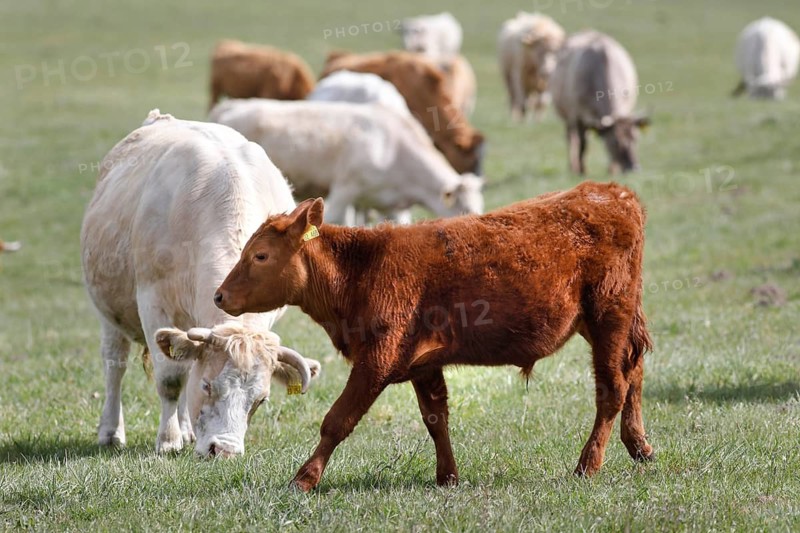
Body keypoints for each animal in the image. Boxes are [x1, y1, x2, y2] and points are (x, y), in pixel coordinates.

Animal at [81, 109, 320, 457]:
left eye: (260, 400)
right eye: (208, 386)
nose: (224, 450)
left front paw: (183, 432)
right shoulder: (154, 303)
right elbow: (170, 380)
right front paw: (168, 440)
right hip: (109, 315)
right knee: (116, 366)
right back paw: (112, 431)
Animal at [214, 180, 655, 491]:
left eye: (260, 255)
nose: (219, 295)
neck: (360, 269)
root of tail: (614, 193)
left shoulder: (377, 360)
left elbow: (337, 420)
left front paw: (304, 478)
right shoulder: (423, 364)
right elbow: (436, 419)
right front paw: (448, 476)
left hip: (608, 316)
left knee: (613, 389)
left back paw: (588, 465)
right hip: (603, 323)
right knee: (634, 371)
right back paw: (639, 446)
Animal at [550, 31, 650, 175]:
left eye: (635, 138)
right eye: (615, 142)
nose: (634, 168)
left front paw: (612, 170)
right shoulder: (578, 117)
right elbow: (582, 145)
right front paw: (582, 171)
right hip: (567, 116)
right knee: (571, 139)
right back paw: (573, 167)